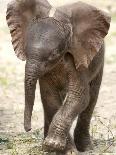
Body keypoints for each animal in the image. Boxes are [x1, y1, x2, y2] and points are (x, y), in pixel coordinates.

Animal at [6, 0, 110, 154]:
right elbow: (49, 97)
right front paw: (59, 148)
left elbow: (79, 96)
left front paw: (54, 145)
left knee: (91, 99)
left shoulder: (79, 58)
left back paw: (86, 148)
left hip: (98, 60)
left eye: (54, 54)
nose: (28, 128)